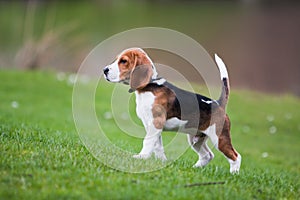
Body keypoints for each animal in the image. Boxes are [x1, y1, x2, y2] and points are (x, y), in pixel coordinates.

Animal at [103, 47, 241, 173]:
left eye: (123, 61)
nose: (104, 70)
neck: (149, 85)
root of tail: (218, 103)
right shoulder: (152, 127)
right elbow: (157, 146)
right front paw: (161, 161)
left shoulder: (156, 123)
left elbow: (147, 142)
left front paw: (142, 157)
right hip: (195, 139)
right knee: (207, 155)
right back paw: (194, 169)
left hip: (219, 138)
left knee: (235, 157)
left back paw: (234, 174)